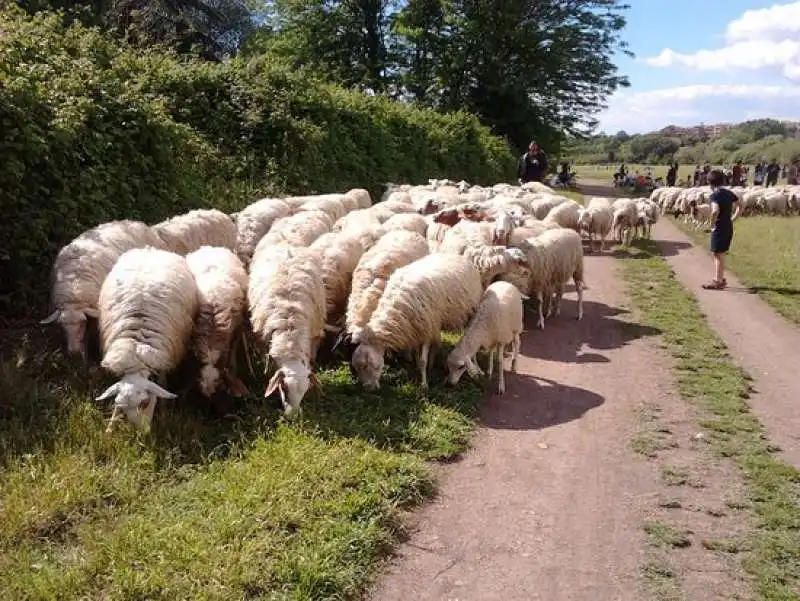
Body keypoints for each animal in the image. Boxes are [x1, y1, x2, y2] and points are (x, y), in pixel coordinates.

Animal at [94, 246, 199, 434]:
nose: (141, 433)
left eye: (144, 402)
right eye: (121, 406)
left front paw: (163, 411)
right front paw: (110, 427)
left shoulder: (163, 358)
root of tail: (150, 249)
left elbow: (161, 384)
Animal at [352, 252, 482, 390]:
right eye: (357, 368)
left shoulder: (426, 328)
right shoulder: (416, 329)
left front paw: (424, 384)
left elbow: (422, 361)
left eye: (366, 365)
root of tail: (457, 255)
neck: (397, 307)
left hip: (470, 310)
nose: (368, 388)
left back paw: (476, 367)